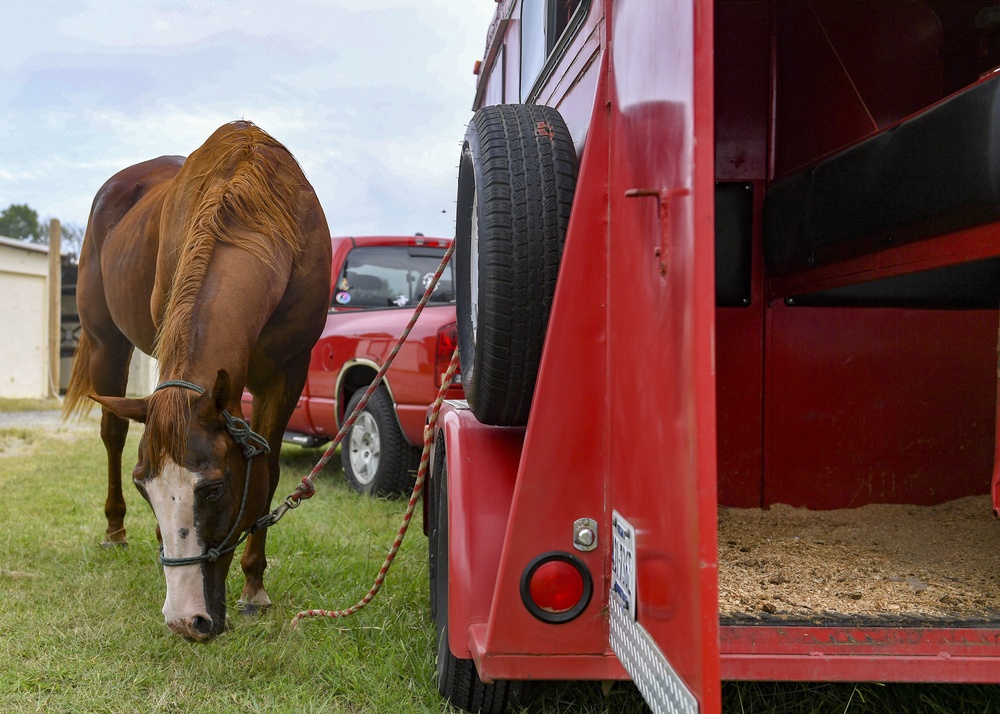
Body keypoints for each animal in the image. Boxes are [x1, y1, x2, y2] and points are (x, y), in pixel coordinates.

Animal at [64, 121, 334, 640]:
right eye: (143, 486)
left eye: (214, 488)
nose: (186, 620)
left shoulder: (287, 374)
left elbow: (268, 473)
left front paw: (254, 587)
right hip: (108, 343)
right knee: (112, 432)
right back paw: (114, 531)